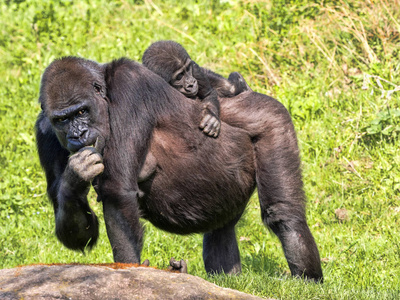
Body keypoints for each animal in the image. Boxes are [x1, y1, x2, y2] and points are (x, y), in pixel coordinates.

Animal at [36, 56, 324, 282]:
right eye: (62, 120)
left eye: (82, 112)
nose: (78, 135)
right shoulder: (44, 130)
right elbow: (80, 234)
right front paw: (75, 177)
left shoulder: (128, 84)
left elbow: (117, 193)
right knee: (222, 228)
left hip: (270, 115)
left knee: (283, 213)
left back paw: (307, 279)